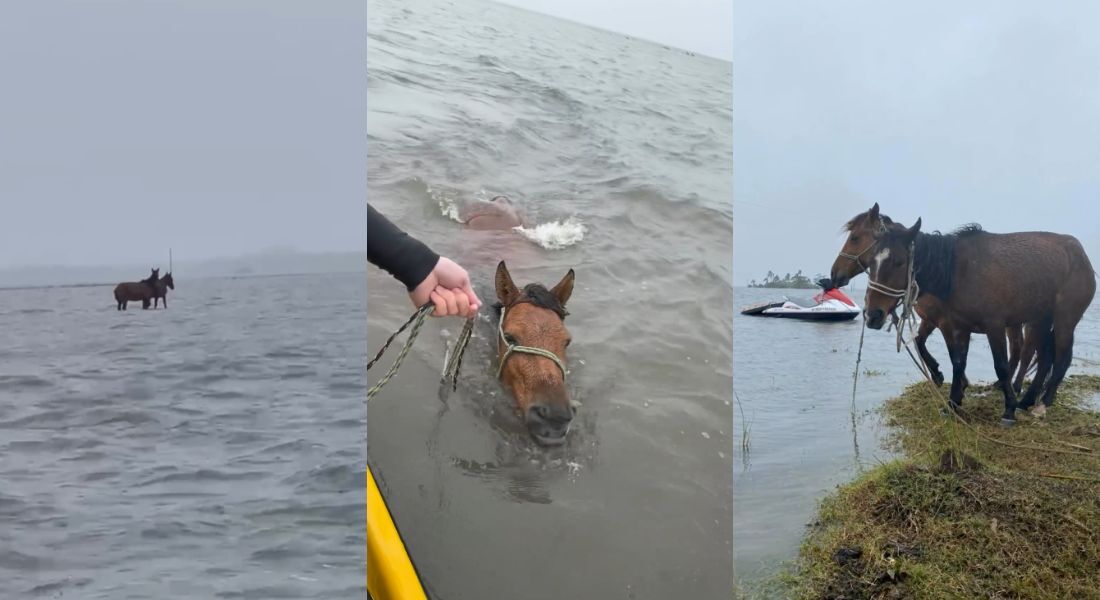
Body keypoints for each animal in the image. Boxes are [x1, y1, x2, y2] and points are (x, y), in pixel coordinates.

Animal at [827, 203, 1034, 396]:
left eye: (854, 238)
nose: (834, 274)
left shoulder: (946, 323)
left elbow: (952, 355)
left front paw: (955, 383)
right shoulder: (930, 320)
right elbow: (920, 342)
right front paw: (938, 374)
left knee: (1024, 349)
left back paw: (1015, 387)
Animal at [849, 212, 1091, 422]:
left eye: (899, 262)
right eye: (872, 262)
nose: (873, 315)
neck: (959, 271)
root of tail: (1081, 255)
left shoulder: (994, 327)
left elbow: (1001, 366)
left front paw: (1008, 410)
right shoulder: (959, 327)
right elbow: (958, 363)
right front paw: (952, 405)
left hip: (1063, 321)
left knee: (1060, 359)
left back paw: (1042, 404)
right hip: (1040, 321)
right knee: (1045, 359)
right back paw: (1027, 401)